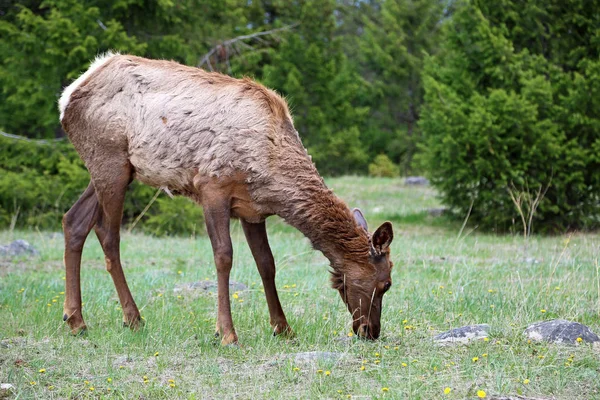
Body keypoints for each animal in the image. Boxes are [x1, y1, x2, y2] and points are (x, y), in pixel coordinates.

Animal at [57, 54, 394, 346]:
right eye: (386, 283)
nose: (371, 331)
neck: (272, 171)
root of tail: (67, 97)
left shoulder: (253, 210)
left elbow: (266, 264)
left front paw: (283, 328)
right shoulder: (212, 187)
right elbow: (224, 257)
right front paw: (226, 332)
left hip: (116, 169)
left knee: (74, 220)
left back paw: (75, 320)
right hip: (110, 160)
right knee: (107, 234)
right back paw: (132, 318)